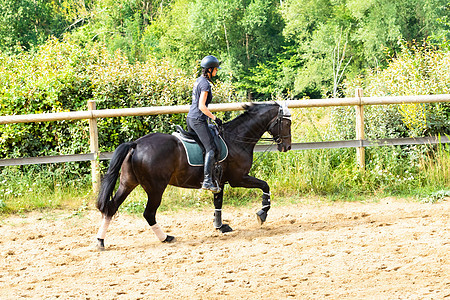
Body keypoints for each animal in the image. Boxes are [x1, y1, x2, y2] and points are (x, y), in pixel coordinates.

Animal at [96, 102, 292, 250]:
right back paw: (165, 237)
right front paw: (262, 212)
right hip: (155, 188)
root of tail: (136, 144)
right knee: (148, 213)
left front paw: (220, 227)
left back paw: (100, 241)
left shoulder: (220, 182)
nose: (287, 147)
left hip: (128, 183)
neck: (237, 138)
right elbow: (265, 185)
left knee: (111, 208)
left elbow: (218, 204)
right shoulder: (238, 178)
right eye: (287, 123)